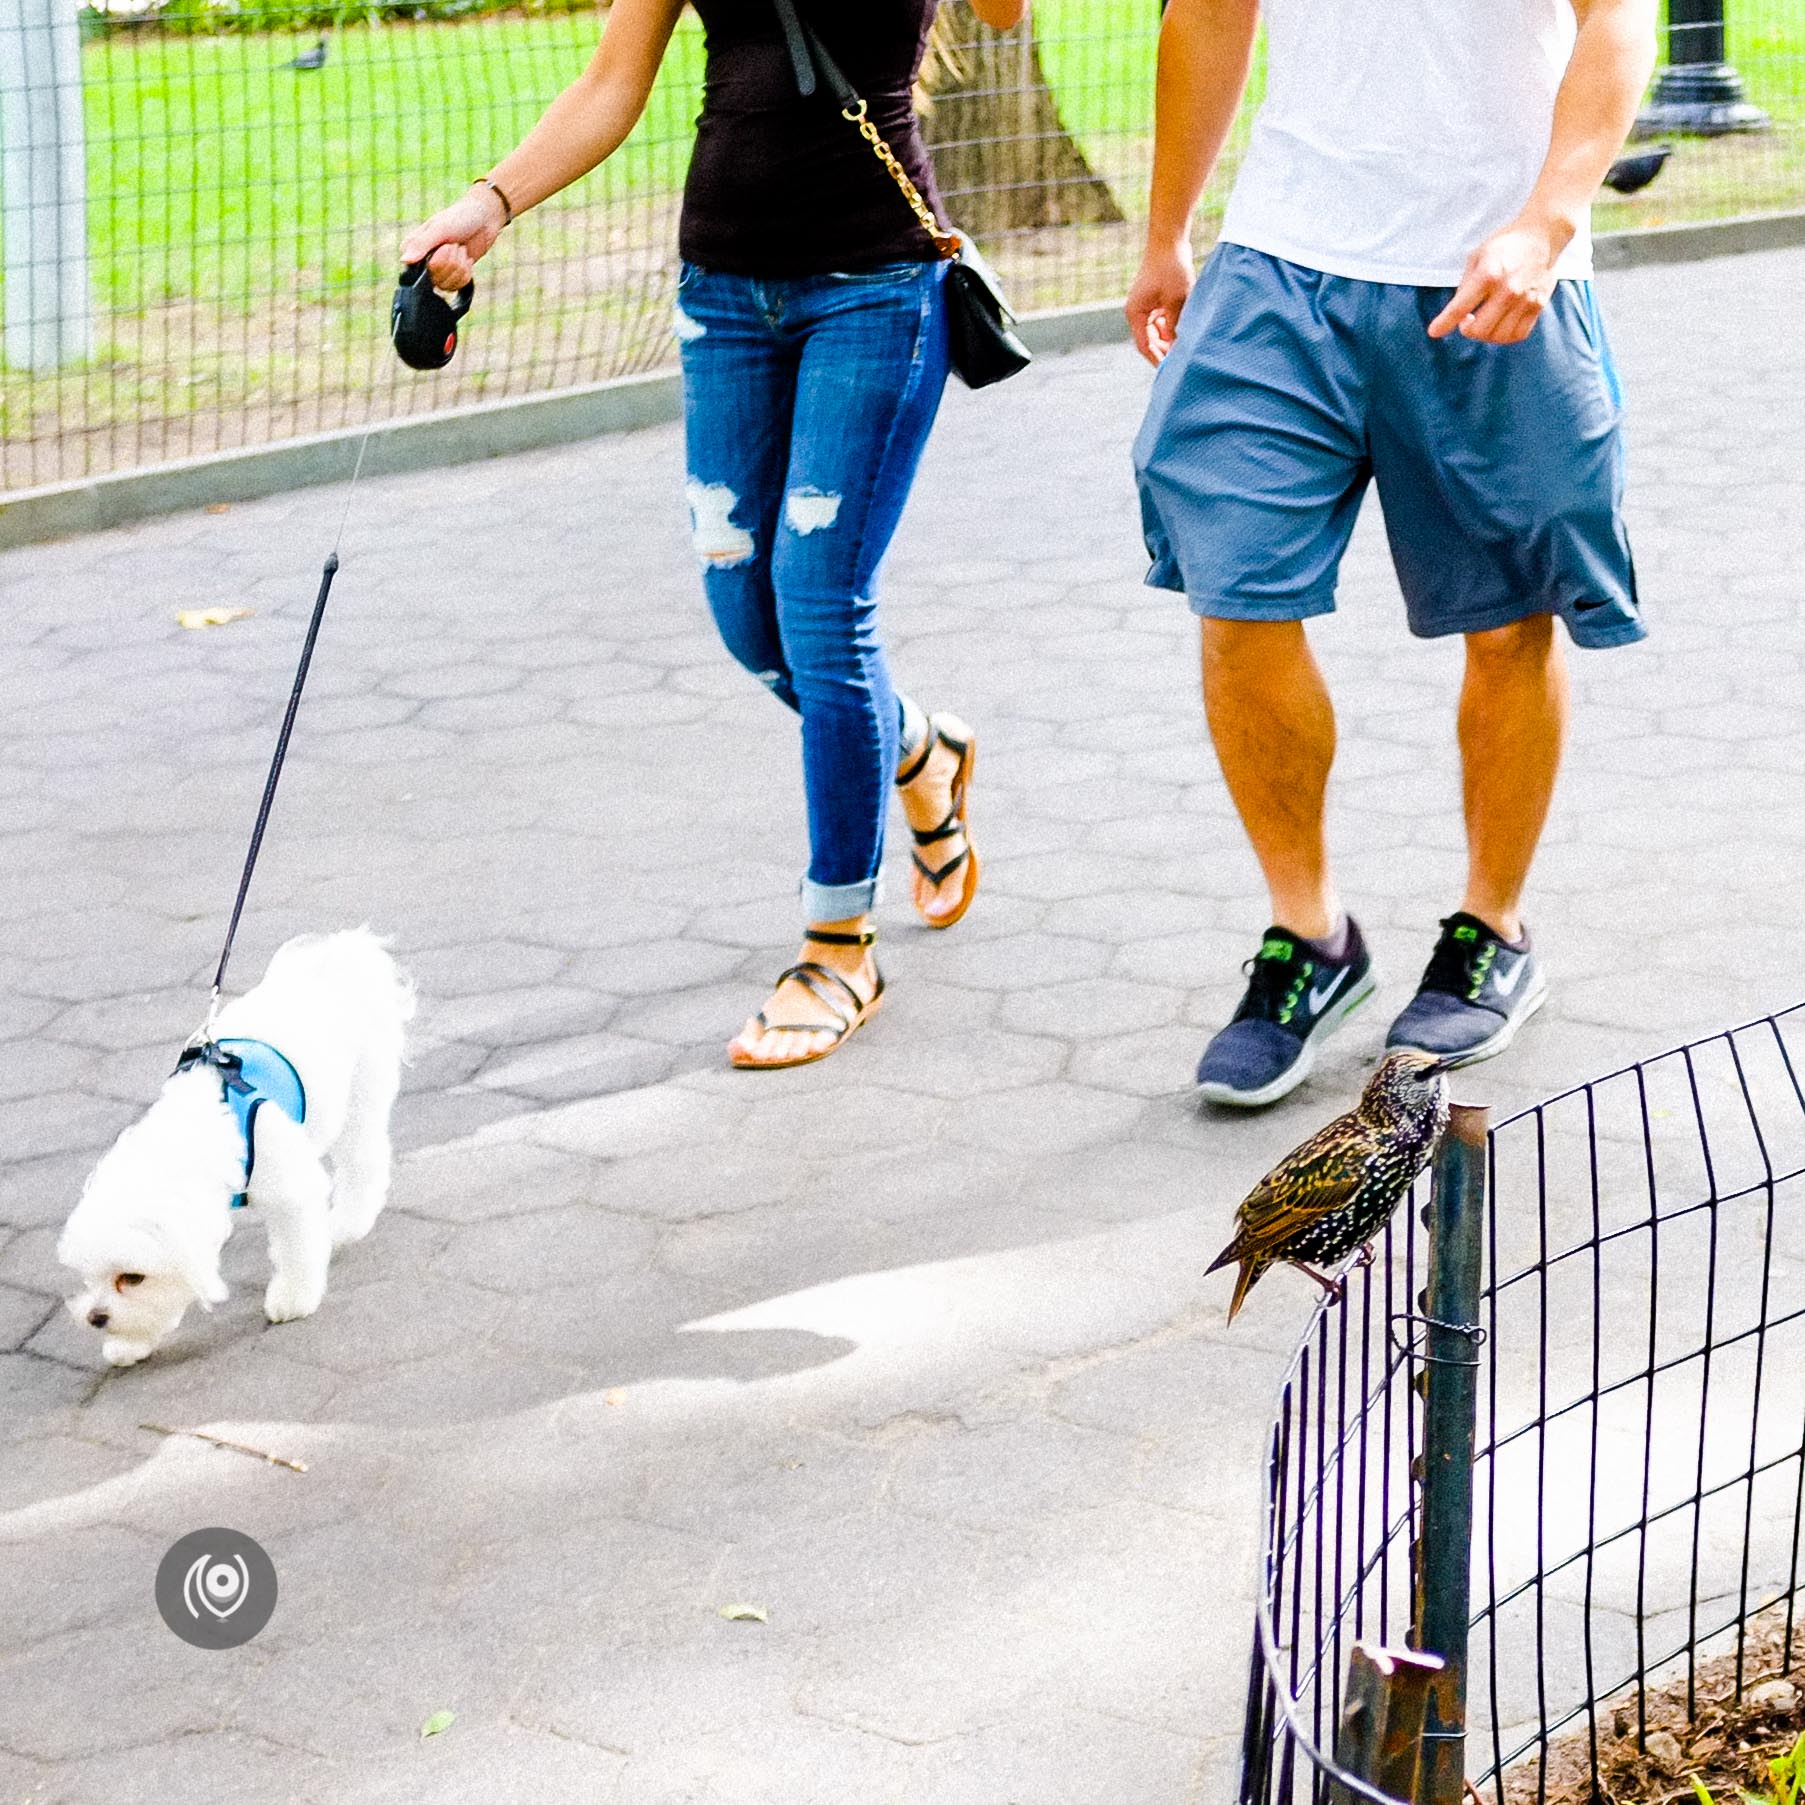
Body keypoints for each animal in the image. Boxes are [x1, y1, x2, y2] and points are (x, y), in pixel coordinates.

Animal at [58, 931, 413, 1364]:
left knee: (363, 1156)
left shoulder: (289, 1190)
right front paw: (130, 1343)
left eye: (133, 1278)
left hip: (363, 1087)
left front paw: (293, 1298)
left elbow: (297, 1249)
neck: (193, 1130)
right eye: (88, 1278)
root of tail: (342, 955)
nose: (96, 1318)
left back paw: (347, 1223)